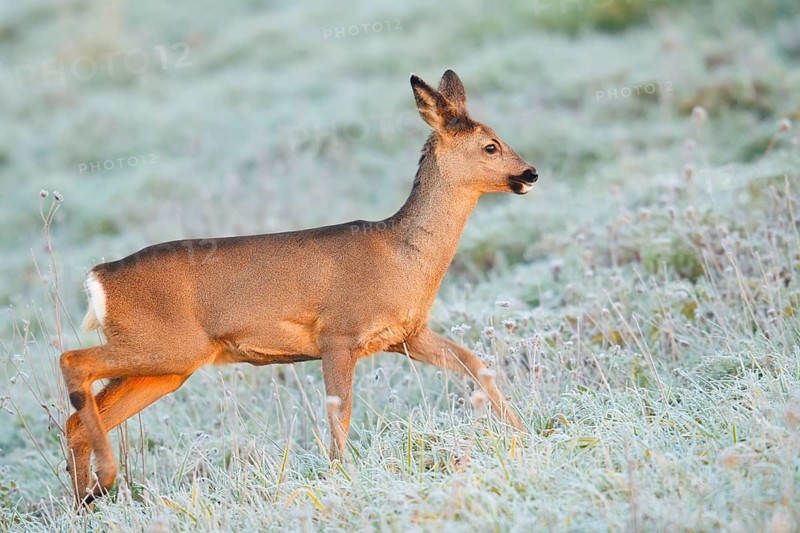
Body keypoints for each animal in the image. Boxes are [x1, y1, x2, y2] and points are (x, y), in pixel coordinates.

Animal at [60, 69, 539, 506]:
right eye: (490, 145)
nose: (530, 172)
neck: (402, 256)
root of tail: (98, 278)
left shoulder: (406, 335)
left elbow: (474, 362)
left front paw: (522, 432)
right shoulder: (338, 333)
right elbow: (340, 412)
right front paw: (341, 474)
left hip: (169, 365)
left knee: (76, 421)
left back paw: (87, 502)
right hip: (166, 344)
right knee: (72, 361)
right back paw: (104, 479)